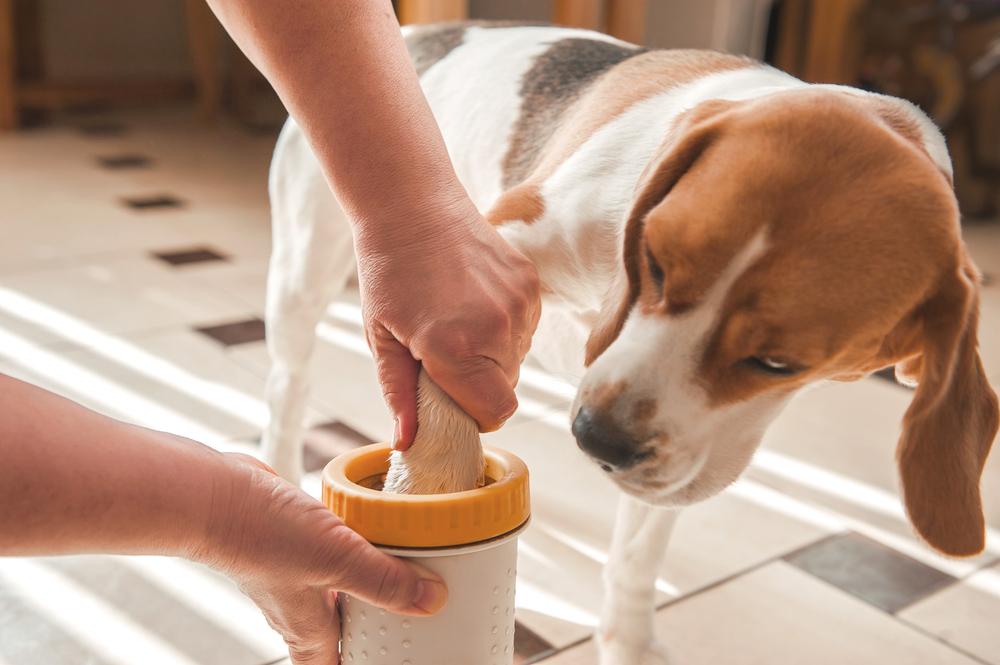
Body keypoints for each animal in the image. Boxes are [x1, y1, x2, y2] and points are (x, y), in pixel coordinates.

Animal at [262, 22, 996, 664]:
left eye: (778, 362)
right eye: (655, 262)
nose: (597, 438)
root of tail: (417, 34)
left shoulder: (685, 456)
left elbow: (641, 549)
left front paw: (629, 640)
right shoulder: (478, 260)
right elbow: (443, 399)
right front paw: (427, 489)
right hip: (304, 271)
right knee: (289, 389)